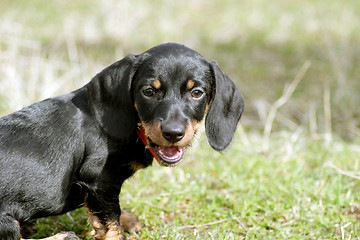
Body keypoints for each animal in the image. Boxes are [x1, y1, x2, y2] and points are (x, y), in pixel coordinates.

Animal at [0, 43, 245, 240]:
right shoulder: (100, 180)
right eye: (148, 91)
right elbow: (111, 221)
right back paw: (63, 236)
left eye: (196, 93)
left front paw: (127, 218)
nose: (173, 133)